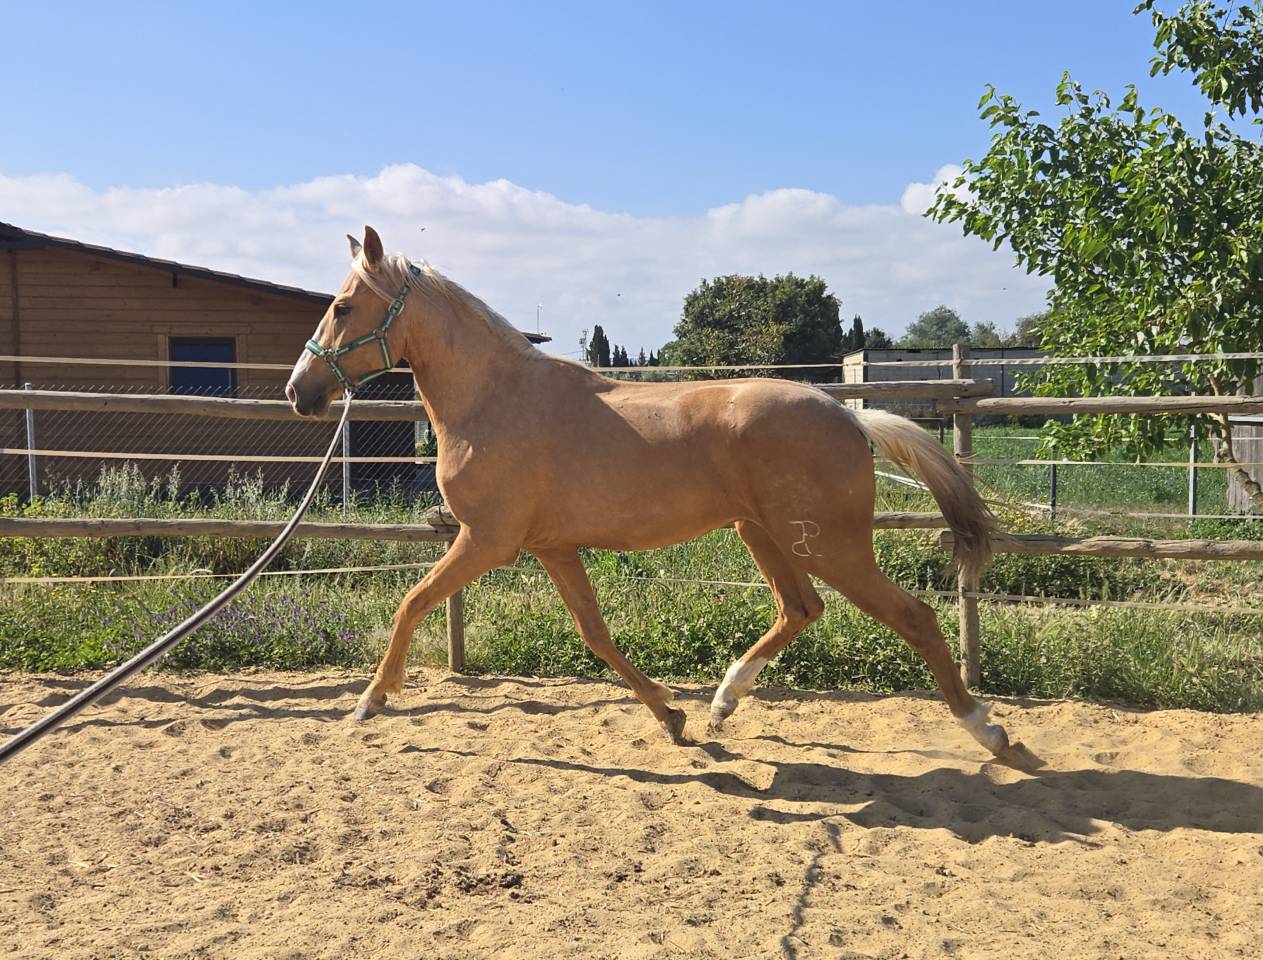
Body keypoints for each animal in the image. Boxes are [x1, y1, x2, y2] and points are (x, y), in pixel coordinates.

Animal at [286, 226, 1014, 758]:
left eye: (342, 307)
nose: (299, 392)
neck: (495, 400)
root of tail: (847, 415)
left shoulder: (487, 541)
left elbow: (410, 604)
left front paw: (369, 702)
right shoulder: (550, 546)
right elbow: (596, 634)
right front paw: (671, 716)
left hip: (830, 546)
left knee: (914, 618)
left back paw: (987, 729)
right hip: (764, 534)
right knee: (801, 610)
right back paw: (721, 703)